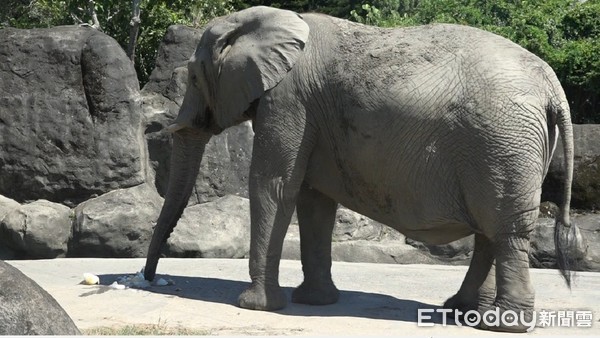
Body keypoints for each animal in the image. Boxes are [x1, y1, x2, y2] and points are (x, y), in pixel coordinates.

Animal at [143, 5, 580, 332]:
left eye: (193, 77)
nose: (149, 278)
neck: (263, 18)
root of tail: (551, 84)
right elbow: (313, 200)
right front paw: (314, 302)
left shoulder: (289, 99)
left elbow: (275, 185)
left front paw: (254, 306)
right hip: (511, 146)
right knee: (491, 230)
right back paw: (461, 311)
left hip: (504, 141)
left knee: (505, 231)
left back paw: (502, 324)